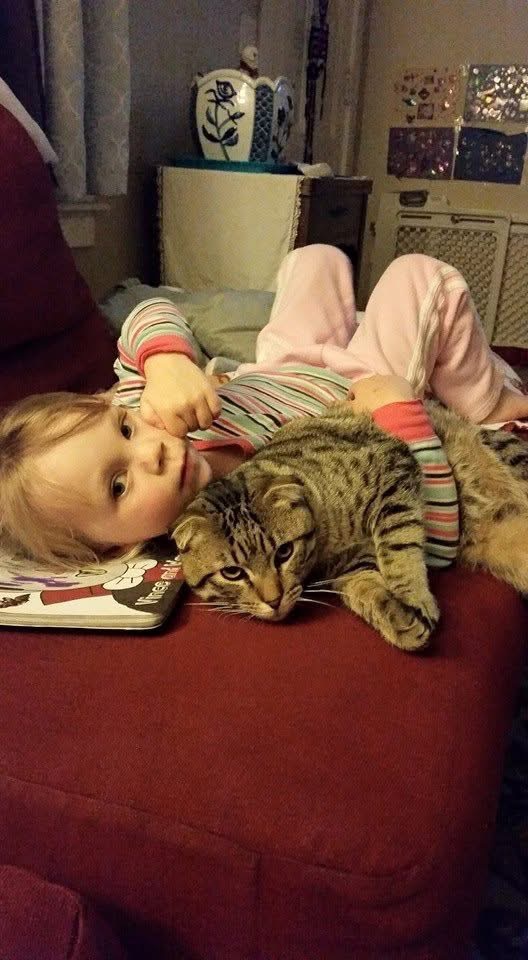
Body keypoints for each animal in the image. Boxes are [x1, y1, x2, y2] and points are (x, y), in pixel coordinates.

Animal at [172, 402, 528, 652]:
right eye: (232, 573)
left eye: (284, 553)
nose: (273, 600)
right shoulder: (351, 565)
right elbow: (365, 590)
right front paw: (399, 620)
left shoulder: (392, 469)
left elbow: (398, 547)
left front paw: (411, 596)